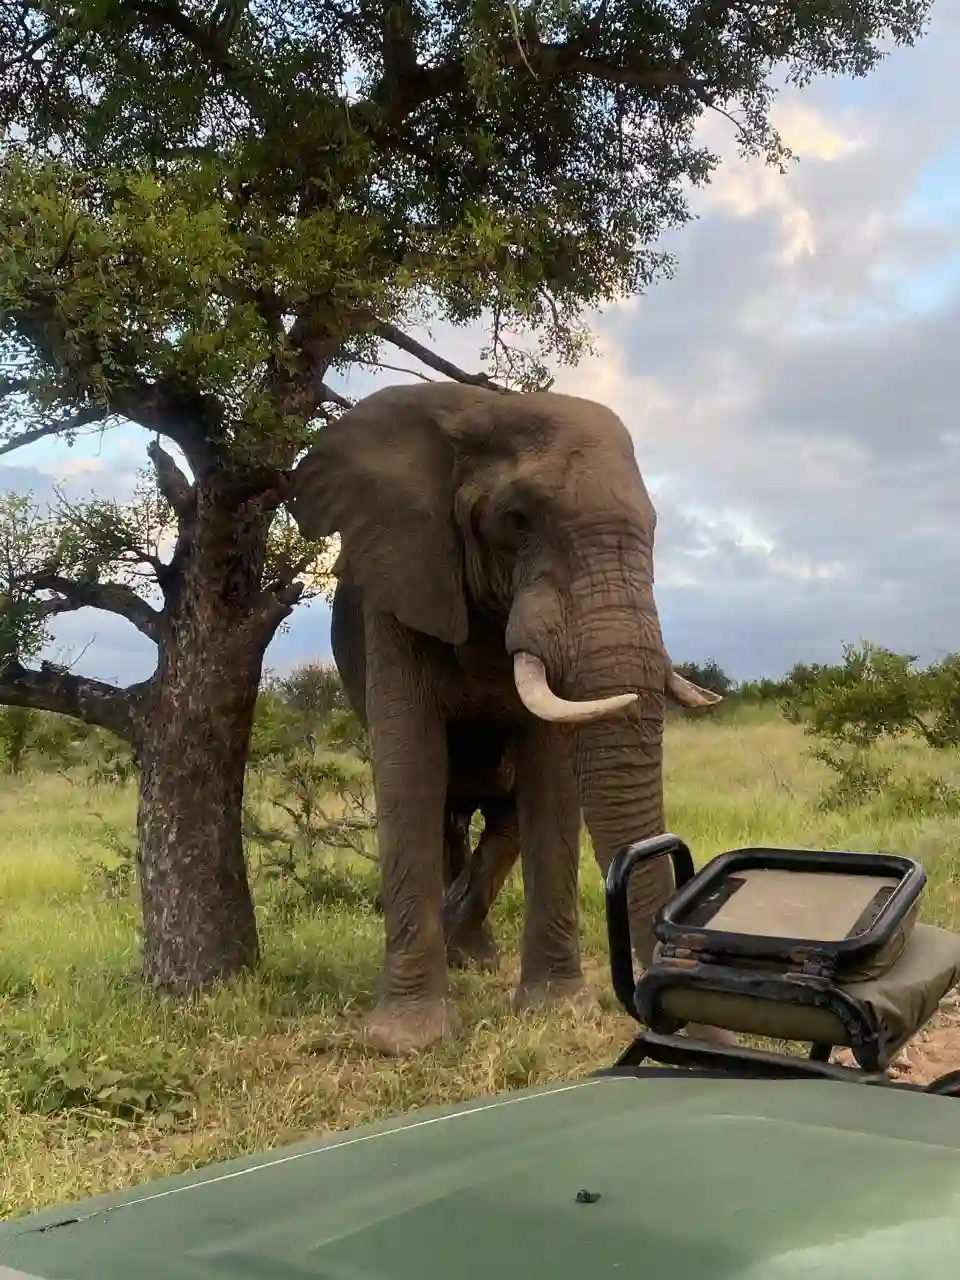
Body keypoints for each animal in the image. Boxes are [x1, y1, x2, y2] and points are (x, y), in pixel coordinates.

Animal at [286, 381, 721, 1057]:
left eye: (653, 530)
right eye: (516, 522)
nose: (684, 1014)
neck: (480, 408)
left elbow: (550, 780)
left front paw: (555, 1012)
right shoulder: (401, 583)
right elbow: (410, 767)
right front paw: (406, 1042)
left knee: (504, 818)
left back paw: (471, 949)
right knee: (445, 812)